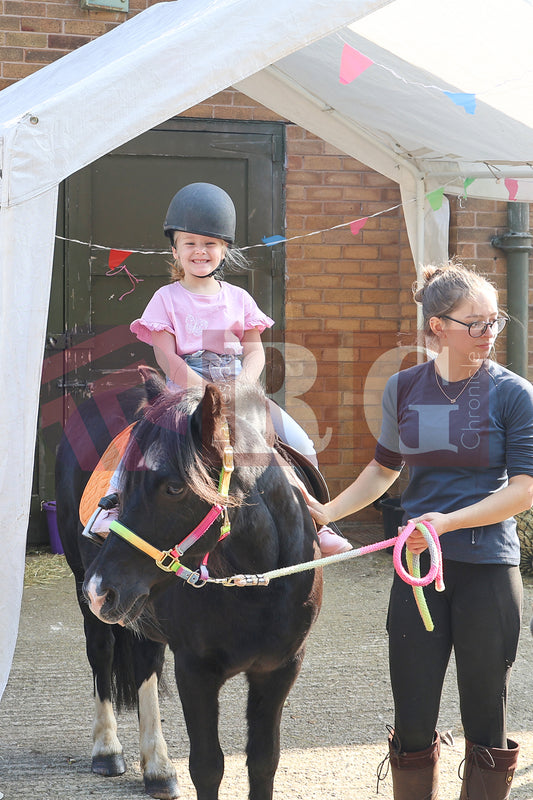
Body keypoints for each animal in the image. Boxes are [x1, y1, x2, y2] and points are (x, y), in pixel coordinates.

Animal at [55, 368, 320, 800]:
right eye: (124, 482)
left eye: (175, 487)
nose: (100, 589)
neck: (257, 585)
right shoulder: (195, 672)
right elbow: (208, 766)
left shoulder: (279, 669)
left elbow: (264, 761)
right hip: (89, 591)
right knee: (102, 652)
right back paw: (107, 749)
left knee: (145, 663)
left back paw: (157, 768)